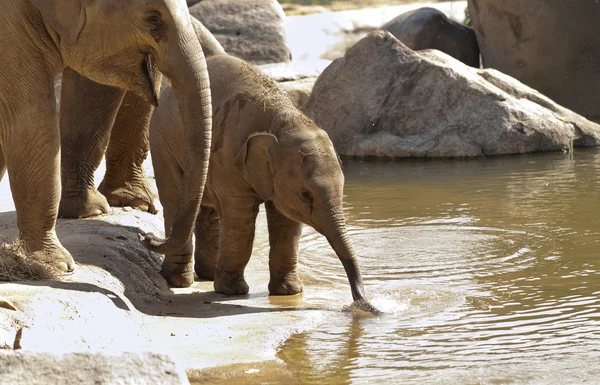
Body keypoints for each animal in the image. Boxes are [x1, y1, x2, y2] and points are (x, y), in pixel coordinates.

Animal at [0, 0, 212, 272]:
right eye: (153, 19)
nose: (146, 237)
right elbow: (32, 114)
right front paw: (56, 265)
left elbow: (94, 90)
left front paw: (97, 211)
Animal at [145, 53, 370, 306]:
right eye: (306, 195)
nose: (363, 302)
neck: (282, 120)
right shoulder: (229, 156)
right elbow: (241, 218)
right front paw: (232, 292)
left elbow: (286, 223)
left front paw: (289, 292)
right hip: (162, 143)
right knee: (175, 200)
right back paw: (179, 281)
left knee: (207, 210)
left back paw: (208, 274)